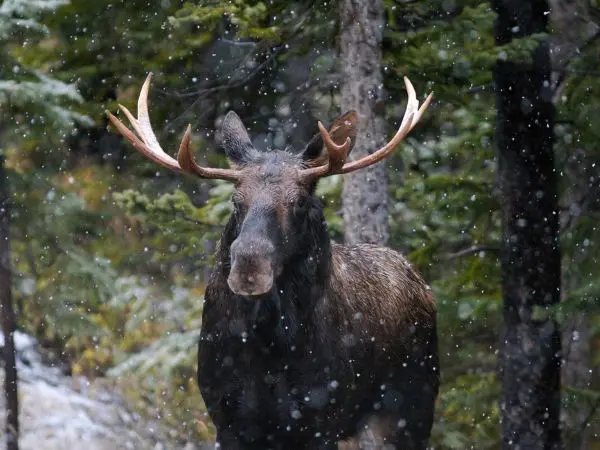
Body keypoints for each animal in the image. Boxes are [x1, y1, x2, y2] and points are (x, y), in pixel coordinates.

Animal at [106, 74, 436, 450]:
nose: (249, 267)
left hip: (408, 409)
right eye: (236, 201)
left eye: (300, 202)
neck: (268, 349)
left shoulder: (320, 419)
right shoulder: (228, 418)